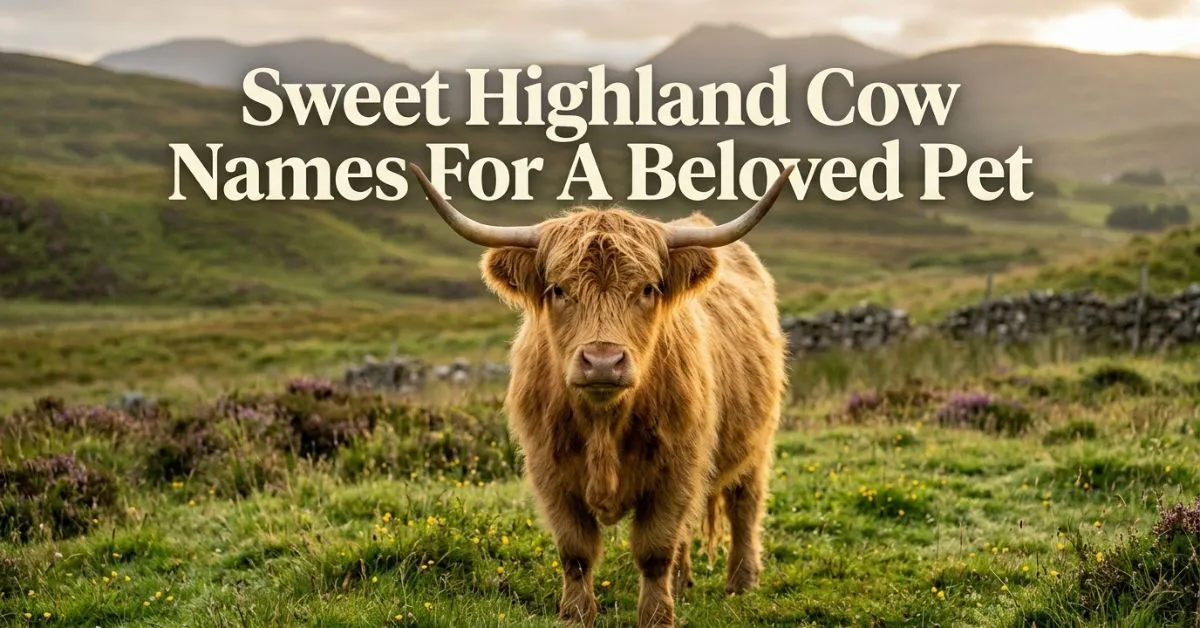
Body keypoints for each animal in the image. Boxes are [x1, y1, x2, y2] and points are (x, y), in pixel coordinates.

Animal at [410, 164, 792, 627]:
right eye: (559, 289)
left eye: (647, 289)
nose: (603, 361)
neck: (603, 424)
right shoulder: (549, 469)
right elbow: (575, 549)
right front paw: (576, 613)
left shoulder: (678, 467)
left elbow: (654, 548)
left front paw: (656, 615)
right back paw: (684, 582)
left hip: (757, 443)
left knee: (745, 505)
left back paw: (741, 581)